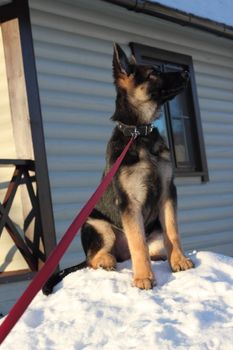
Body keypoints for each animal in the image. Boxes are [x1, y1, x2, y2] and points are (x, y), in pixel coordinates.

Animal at [42, 43, 194, 296]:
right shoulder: (129, 202)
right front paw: (143, 277)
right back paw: (107, 259)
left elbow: (173, 231)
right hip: (98, 226)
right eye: (153, 73)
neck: (139, 134)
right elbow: (138, 243)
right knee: (94, 257)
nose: (185, 74)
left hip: (153, 232)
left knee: (150, 248)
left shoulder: (167, 193)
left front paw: (179, 260)